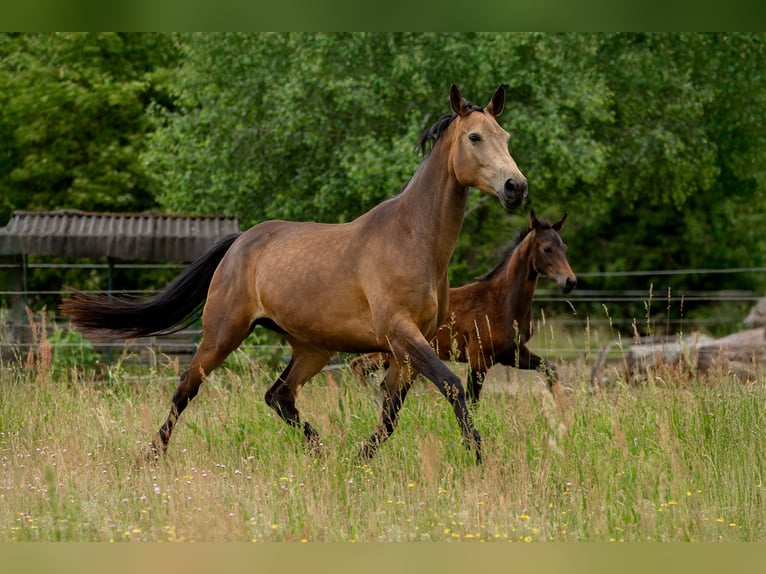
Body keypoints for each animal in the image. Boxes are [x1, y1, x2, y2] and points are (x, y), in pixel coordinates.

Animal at [60, 84, 528, 463]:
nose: (516, 188)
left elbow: (391, 412)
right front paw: (478, 456)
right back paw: (151, 456)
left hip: (311, 347)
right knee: (185, 388)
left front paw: (359, 461)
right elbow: (451, 385)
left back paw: (321, 453)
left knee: (279, 395)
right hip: (223, 334)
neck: (412, 238)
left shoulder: (410, 345)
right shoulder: (401, 333)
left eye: (506, 137)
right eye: (474, 137)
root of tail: (241, 242)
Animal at [349, 211, 576, 402]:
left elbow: (551, 369)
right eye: (547, 248)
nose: (570, 281)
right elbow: (472, 399)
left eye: (564, 248)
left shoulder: (512, 353)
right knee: (359, 366)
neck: (502, 303)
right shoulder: (478, 360)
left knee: (362, 368)